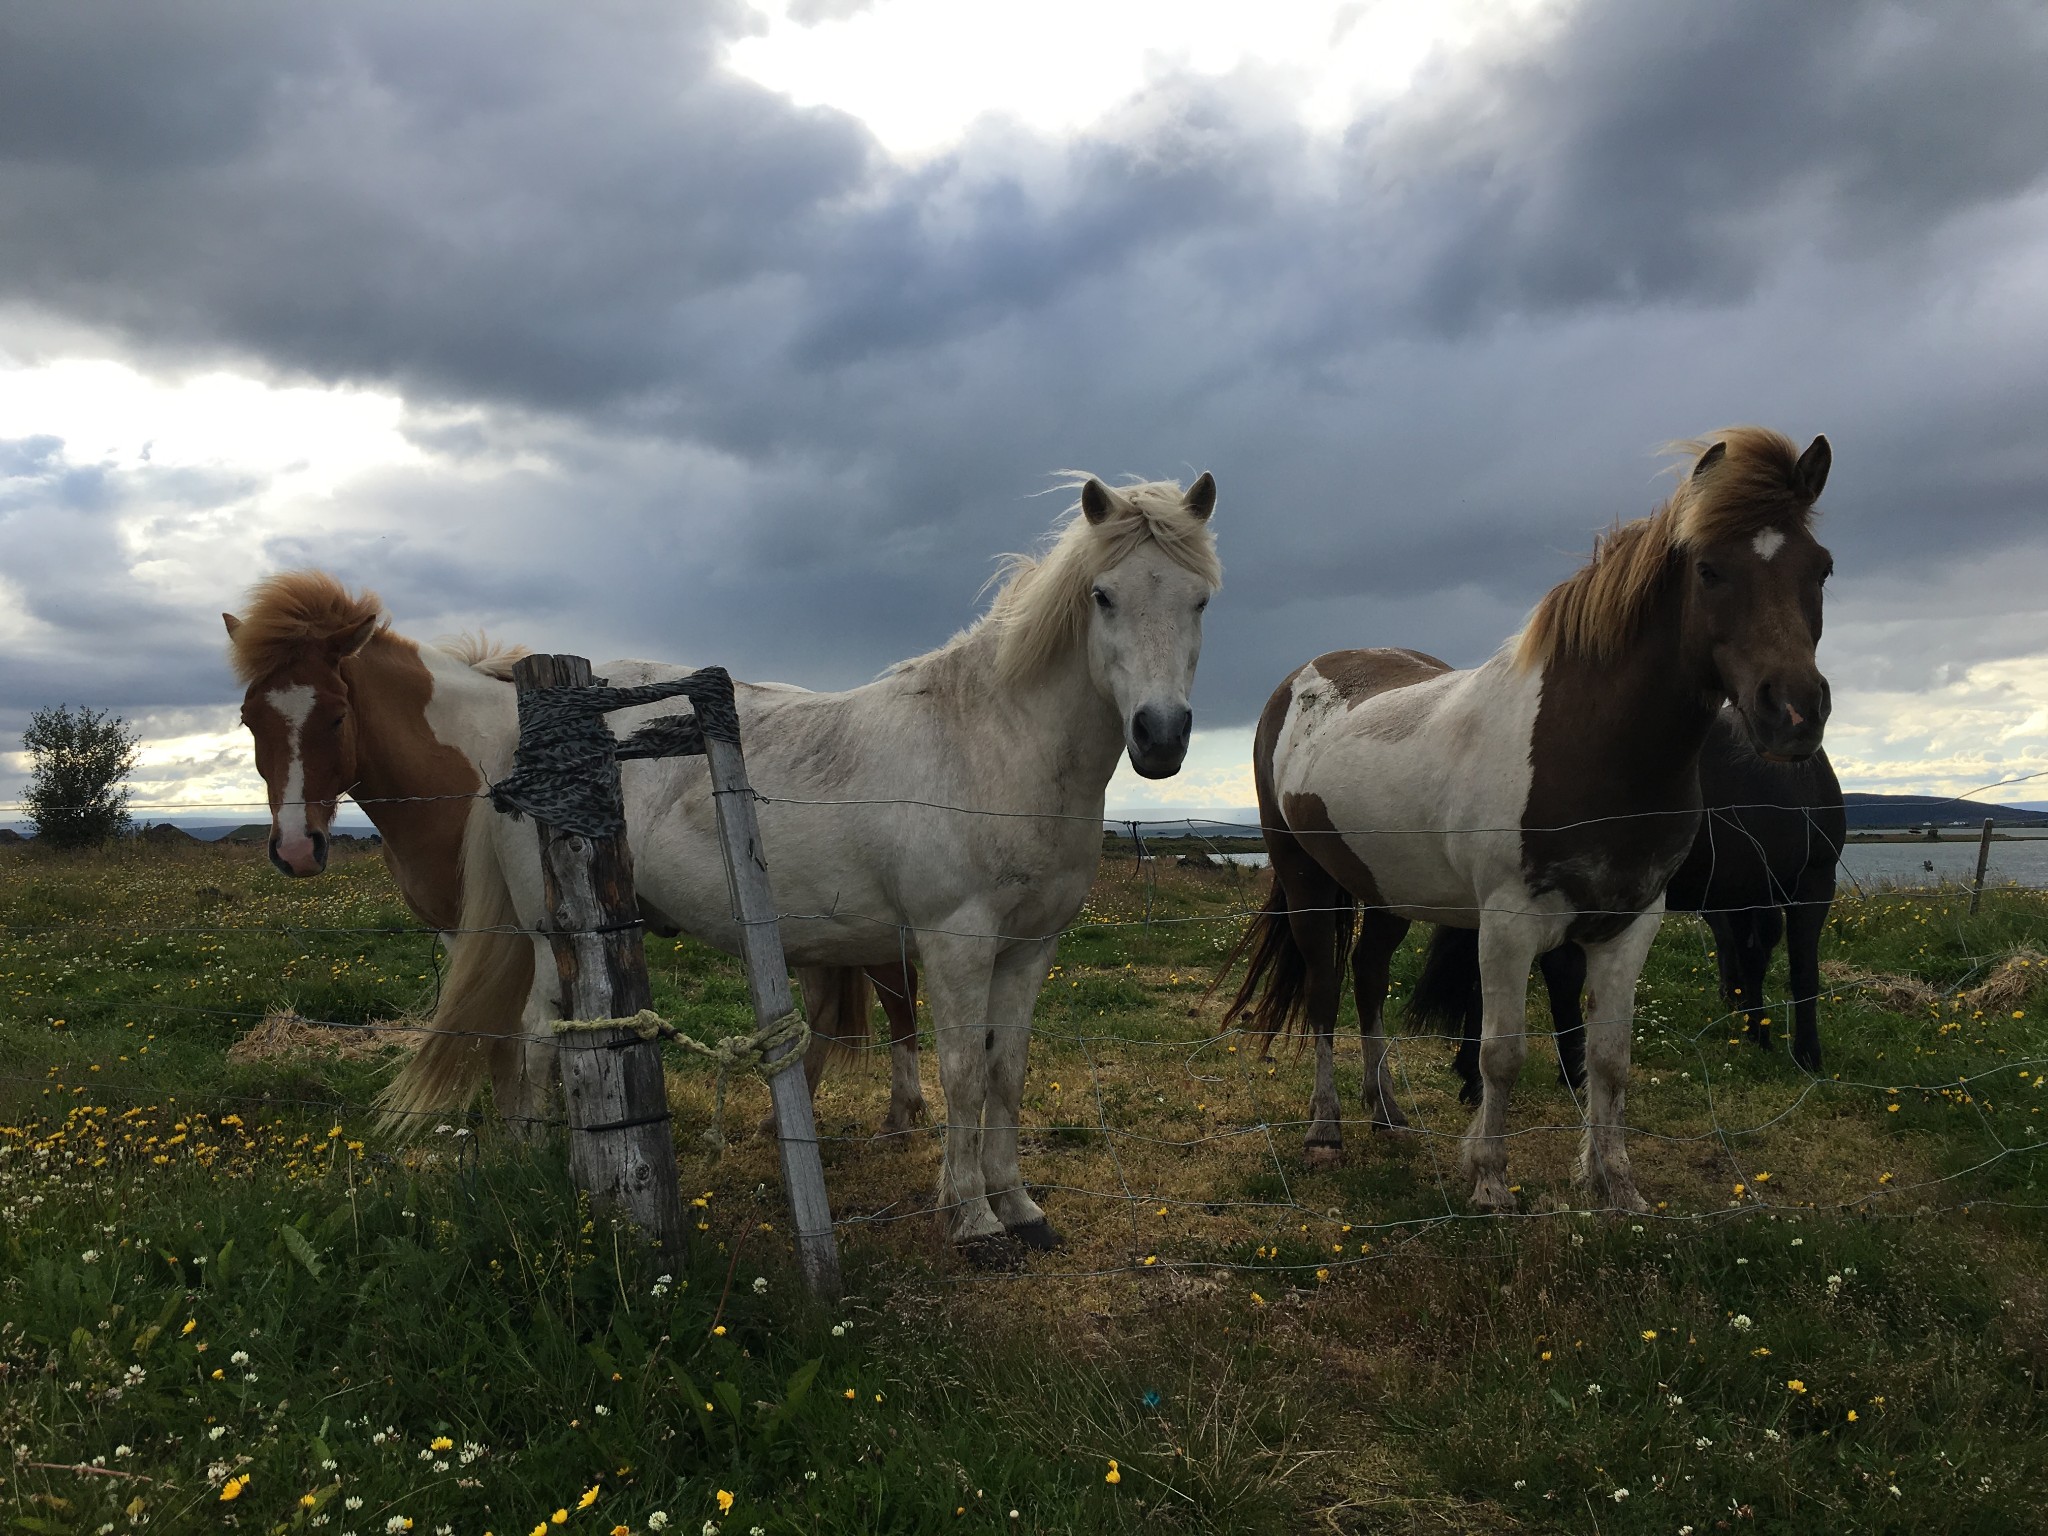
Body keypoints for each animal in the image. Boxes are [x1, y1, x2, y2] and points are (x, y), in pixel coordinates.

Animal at [391, 475, 1220, 1253]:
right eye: (1102, 596)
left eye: (1201, 600)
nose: (1161, 736)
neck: (987, 743)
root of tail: (521, 736)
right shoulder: (956, 943)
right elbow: (963, 1072)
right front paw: (973, 1220)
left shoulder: (1029, 948)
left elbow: (1006, 1071)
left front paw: (1019, 1208)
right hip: (543, 934)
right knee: (537, 1040)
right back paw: (541, 1164)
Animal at [1433, 708, 1851, 1097]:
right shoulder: (1815, 882)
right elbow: (1802, 973)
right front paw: (1807, 1055)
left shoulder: (1750, 897)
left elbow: (1753, 961)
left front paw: (1758, 1034)